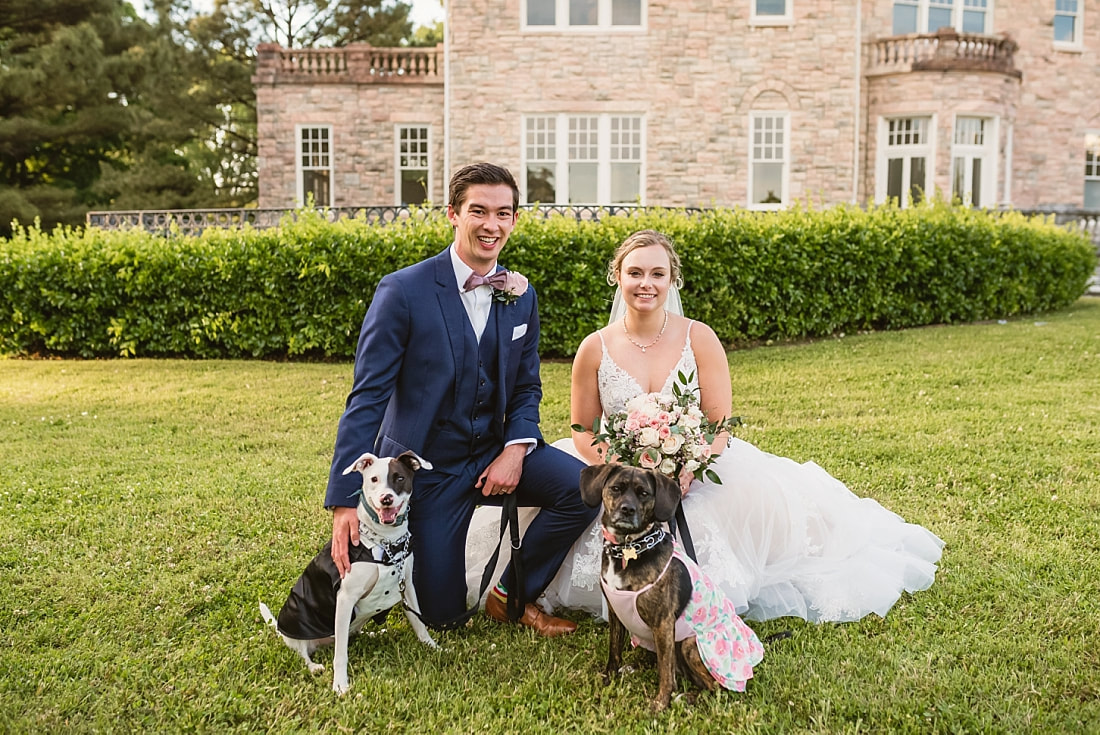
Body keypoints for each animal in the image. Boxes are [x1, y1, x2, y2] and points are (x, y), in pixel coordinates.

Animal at [261, 448, 437, 695]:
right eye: (374, 479)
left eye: (399, 478)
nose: (386, 499)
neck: (384, 541)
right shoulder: (345, 599)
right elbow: (340, 654)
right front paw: (340, 684)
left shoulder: (407, 587)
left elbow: (419, 622)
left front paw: (433, 647)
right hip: (297, 629)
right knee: (302, 651)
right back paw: (314, 666)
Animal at [576, 464, 721, 712]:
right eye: (616, 488)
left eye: (644, 493)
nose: (627, 509)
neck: (628, 549)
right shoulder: (615, 614)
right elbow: (614, 650)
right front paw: (609, 678)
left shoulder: (662, 623)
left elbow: (665, 671)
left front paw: (660, 704)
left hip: (690, 643)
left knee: (715, 688)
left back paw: (687, 698)